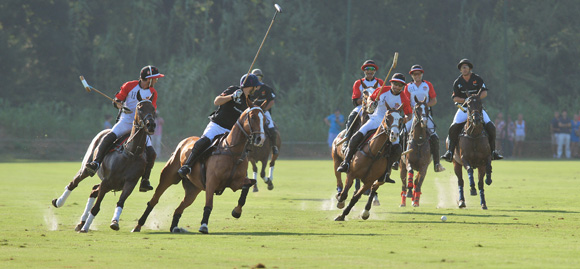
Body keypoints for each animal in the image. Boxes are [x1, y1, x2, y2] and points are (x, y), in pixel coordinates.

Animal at [51, 97, 155, 231]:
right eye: (140, 108)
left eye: (153, 109)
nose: (151, 125)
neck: (131, 154)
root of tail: (106, 130)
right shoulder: (106, 181)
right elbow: (96, 207)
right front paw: (86, 228)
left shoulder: (130, 183)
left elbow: (120, 202)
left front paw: (115, 222)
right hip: (87, 168)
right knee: (74, 183)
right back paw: (59, 202)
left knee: (94, 190)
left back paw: (81, 222)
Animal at [132, 105, 266, 233]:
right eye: (253, 117)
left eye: (264, 119)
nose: (260, 139)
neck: (233, 152)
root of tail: (184, 141)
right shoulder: (211, 182)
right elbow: (209, 204)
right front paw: (204, 226)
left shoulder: (234, 183)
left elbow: (248, 184)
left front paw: (236, 211)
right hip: (168, 178)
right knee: (154, 200)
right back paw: (138, 226)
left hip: (193, 189)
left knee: (179, 208)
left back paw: (174, 227)